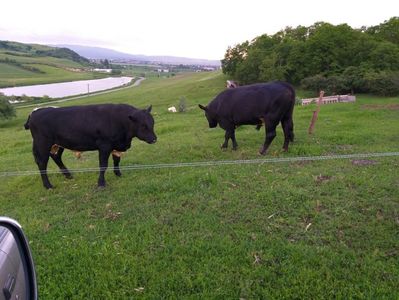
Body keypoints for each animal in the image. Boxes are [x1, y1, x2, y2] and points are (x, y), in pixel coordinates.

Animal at [24, 103, 157, 188]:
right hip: (42, 143)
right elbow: (103, 165)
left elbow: (116, 160)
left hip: (58, 143)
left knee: (56, 156)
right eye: (143, 126)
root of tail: (36, 111)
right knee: (42, 163)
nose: (154, 139)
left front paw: (118, 174)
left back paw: (68, 175)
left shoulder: (116, 145)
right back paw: (48, 185)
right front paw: (101, 183)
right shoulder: (104, 145)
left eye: (152, 122)